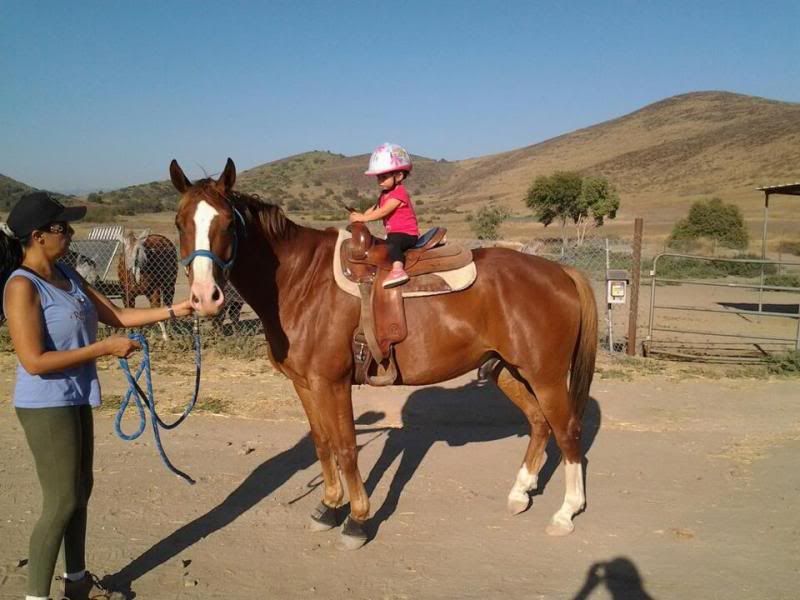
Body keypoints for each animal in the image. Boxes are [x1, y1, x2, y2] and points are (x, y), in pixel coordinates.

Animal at [172, 158, 596, 548]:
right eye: (180, 223)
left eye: (228, 223)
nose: (205, 297)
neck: (301, 281)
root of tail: (560, 271)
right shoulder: (305, 385)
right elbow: (321, 443)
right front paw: (328, 507)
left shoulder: (332, 383)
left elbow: (346, 447)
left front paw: (357, 519)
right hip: (507, 370)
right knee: (539, 423)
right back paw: (520, 492)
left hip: (546, 376)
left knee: (568, 430)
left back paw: (566, 512)